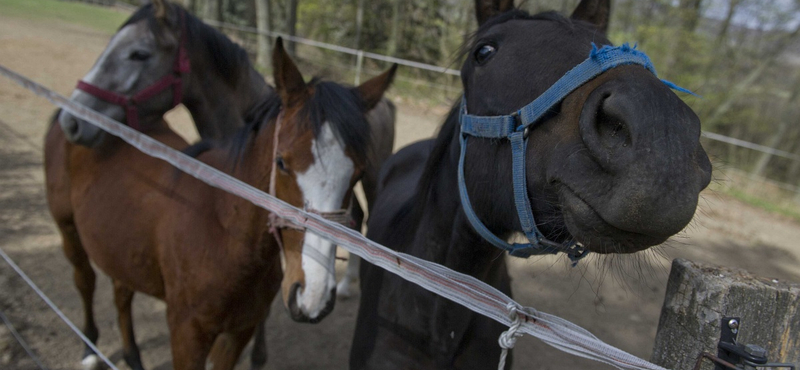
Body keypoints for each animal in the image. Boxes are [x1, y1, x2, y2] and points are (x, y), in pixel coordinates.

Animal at [45, 33, 396, 368]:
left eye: (357, 172)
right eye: (281, 162)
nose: (314, 296)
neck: (223, 229)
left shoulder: (239, 332)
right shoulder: (187, 334)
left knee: (121, 292)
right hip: (68, 230)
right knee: (86, 281)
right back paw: (89, 348)